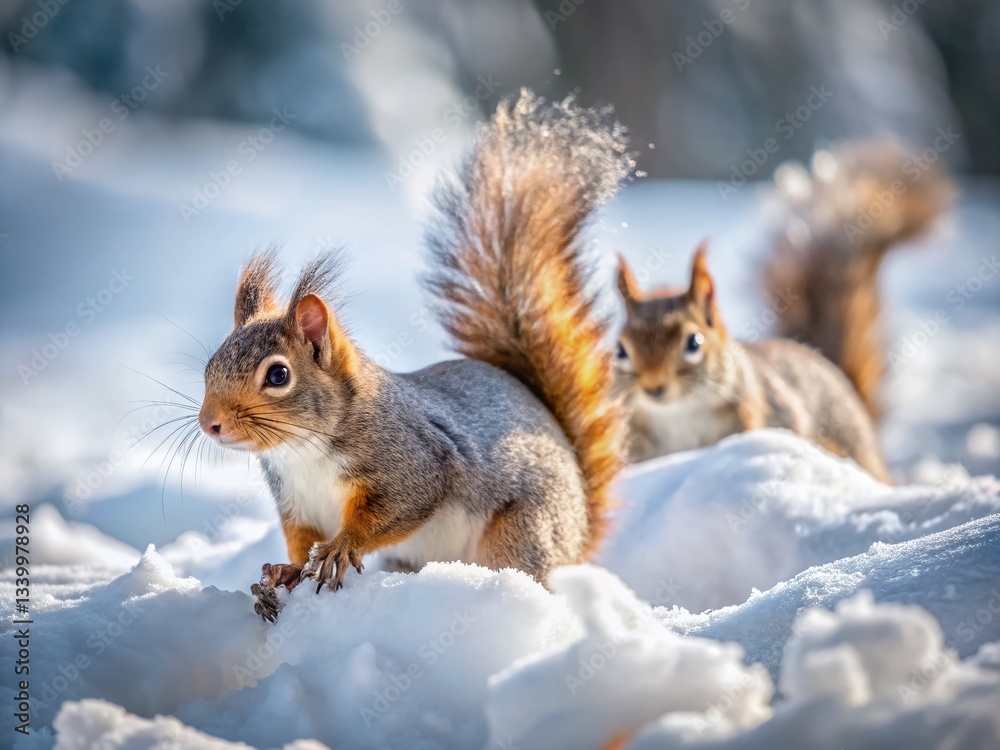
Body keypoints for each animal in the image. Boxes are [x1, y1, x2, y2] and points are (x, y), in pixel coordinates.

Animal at [196, 91, 632, 620]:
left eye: (278, 375)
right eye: (209, 366)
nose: (210, 424)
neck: (303, 451)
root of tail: (581, 531)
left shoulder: (413, 461)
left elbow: (400, 508)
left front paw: (341, 547)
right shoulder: (296, 503)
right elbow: (301, 544)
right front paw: (283, 574)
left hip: (525, 531)